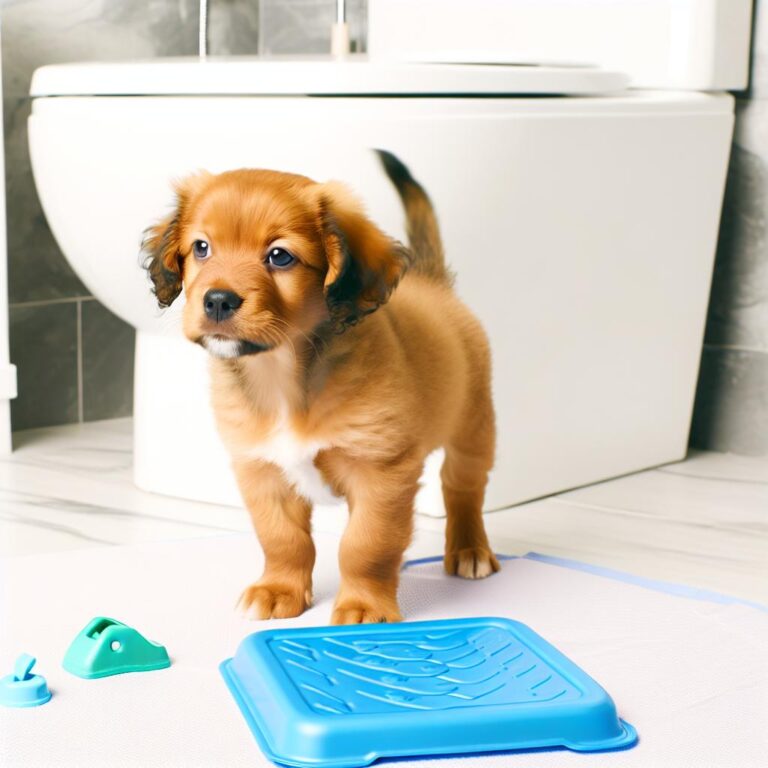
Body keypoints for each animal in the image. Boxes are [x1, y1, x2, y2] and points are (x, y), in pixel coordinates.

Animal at [142, 150, 498, 624]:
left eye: (280, 256)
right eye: (201, 248)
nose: (217, 300)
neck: (281, 377)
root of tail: (433, 282)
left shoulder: (380, 473)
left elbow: (366, 545)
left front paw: (364, 605)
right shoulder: (261, 471)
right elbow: (283, 539)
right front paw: (279, 590)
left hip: (473, 429)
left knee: (463, 491)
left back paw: (469, 548)